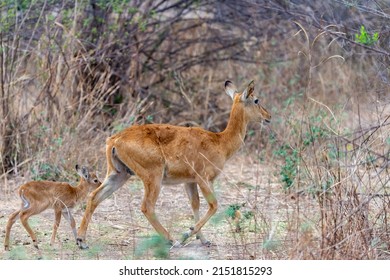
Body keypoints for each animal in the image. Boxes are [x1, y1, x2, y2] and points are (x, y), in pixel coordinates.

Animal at [76, 80, 272, 248]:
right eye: (256, 99)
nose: (268, 116)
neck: (220, 142)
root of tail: (114, 140)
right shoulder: (204, 179)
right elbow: (214, 205)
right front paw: (186, 234)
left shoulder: (189, 181)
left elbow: (195, 205)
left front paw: (203, 239)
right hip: (152, 177)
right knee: (147, 207)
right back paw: (173, 240)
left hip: (119, 174)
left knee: (94, 196)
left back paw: (81, 241)